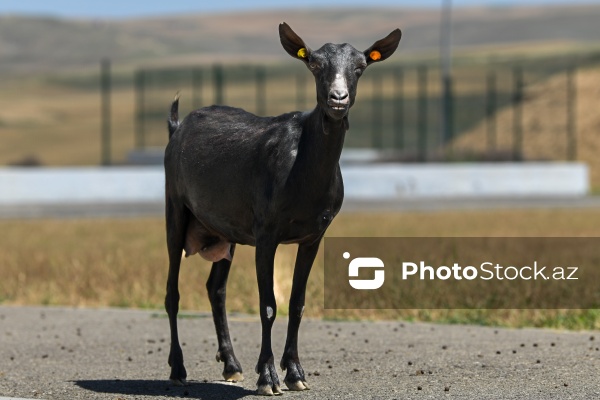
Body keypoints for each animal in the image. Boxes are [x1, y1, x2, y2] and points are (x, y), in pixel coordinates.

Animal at [162, 21, 400, 394]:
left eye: (361, 66)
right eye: (314, 64)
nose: (338, 99)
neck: (303, 166)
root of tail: (177, 127)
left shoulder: (314, 235)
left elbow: (297, 303)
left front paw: (296, 373)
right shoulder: (266, 233)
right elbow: (268, 305)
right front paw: (268, 377)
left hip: (225, 230)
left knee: (216, 288)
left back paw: (231, 365)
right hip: (176, 207)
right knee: (172, 292)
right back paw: (178, 368)